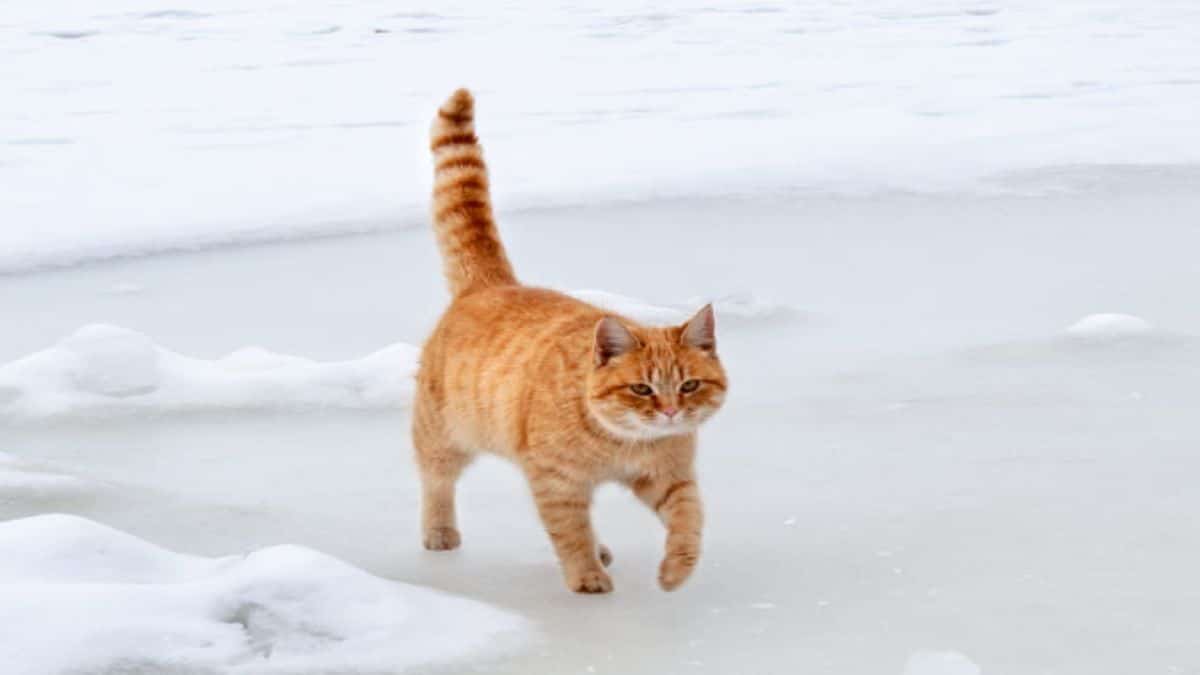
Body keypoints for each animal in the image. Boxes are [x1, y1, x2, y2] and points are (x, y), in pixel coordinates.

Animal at [412, 88, 729, 588]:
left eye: (689, 385)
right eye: (642, 388)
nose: (670, 411)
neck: (624, 442)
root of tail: (493, 284)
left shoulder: (669, 476)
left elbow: (689, 516)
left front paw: (676, 568)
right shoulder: (556, 482)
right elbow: (570, 533)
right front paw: (587, 577)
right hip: (443, 434)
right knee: (435, 480)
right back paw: (440, 530)